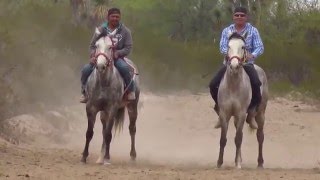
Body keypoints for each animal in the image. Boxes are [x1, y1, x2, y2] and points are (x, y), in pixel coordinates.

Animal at [80, 28, 139, 165]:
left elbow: (108, 134)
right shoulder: (91, 108)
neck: (103, 82)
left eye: (110, 47)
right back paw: (100, 157)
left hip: (132, 107)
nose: (100, 66)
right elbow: (89, 133)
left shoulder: (112, 109)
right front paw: (84, 156)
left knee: (132, 129)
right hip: (103, 113)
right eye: (96, 45)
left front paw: (107, 158)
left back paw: (132, 156)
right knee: (104, 129)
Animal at [218, 32, 268, 169]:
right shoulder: (225, 113)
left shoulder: (241, 114)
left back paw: (260, 162)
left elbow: (238, 139)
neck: (233, 85)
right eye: (228, 46)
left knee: (260, 136)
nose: (234, 65)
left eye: (243, 47)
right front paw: (219, 162)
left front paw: (237, 164)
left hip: (261, 113)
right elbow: (223, 139)